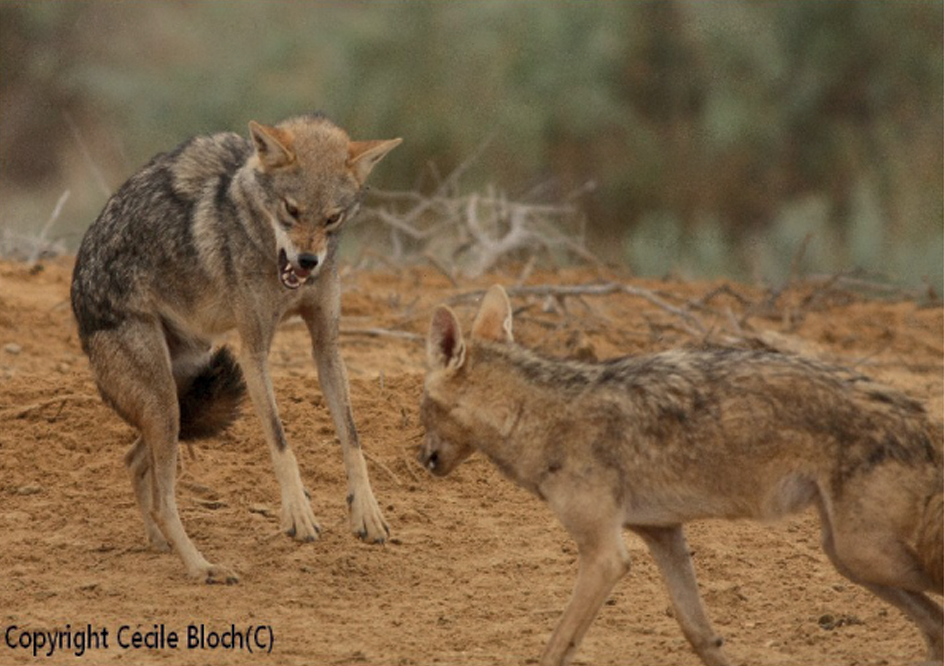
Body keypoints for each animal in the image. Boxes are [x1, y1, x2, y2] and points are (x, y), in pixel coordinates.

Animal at [71, 113, 401, 583]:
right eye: (290, 209)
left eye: (332, 219)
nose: (307, 262)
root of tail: (78, 291)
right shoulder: (254, 350)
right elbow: (280, 440)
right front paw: (297, 512)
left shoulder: (326, 346)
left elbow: (353, 438)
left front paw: (367, 512)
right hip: (165, 404)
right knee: (163, 499)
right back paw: (201, 567)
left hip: (174, 404)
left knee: (134, 460)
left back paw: (159, 544)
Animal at [419, 285, 943, 666]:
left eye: (422, 406)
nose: (423, 459)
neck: (534, 417)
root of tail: (921, 420)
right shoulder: (663, 534)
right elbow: (700, 633)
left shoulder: (606, 556)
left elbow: (556, 646)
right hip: (848, 558)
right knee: (935, 625)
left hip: (863, 554)